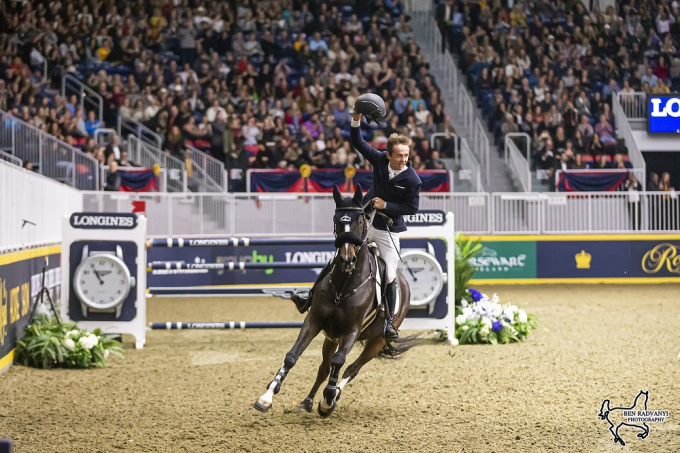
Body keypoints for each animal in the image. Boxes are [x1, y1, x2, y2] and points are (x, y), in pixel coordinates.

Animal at [254, 184, 414, 416]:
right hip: (331, 337)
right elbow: (292, 356)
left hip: (377, 340)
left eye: (360, 221)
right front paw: (266, 397)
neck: (344, 286)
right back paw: (307, 402)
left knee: (351, 368)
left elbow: (340, 362)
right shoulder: (314, 322)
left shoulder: (352, 331)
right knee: (324, 369)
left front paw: (328, 400)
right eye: (336, 220)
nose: (347, 259)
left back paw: (332, 396)